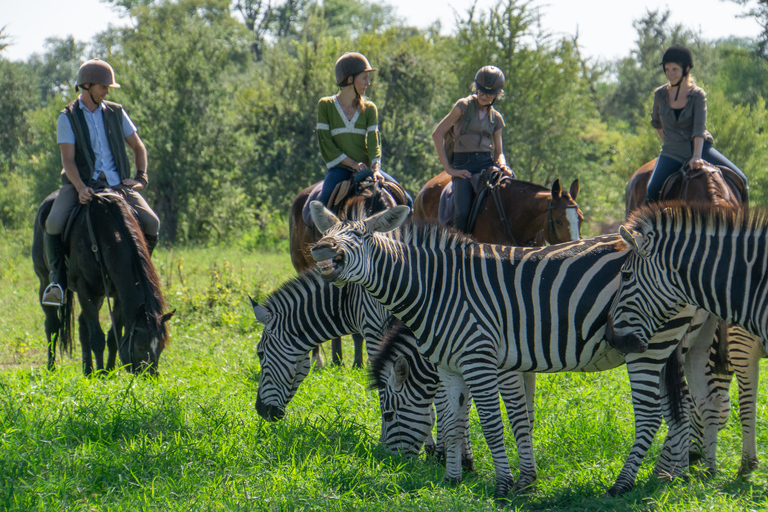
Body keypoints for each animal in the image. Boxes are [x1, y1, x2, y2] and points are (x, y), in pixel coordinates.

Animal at [32, 190, 173, 374]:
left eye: (162, 347)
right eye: (140, 347)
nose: (150, 377)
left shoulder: (118, 295)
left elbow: (113, 336)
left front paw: (108, 371)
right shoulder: (84, 289)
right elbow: (97, 337)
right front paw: (101, 374)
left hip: (98, 295)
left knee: (82, 325)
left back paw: (87, 370)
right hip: (45, 282)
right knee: (52, 324)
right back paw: (52, 367)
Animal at [308, 202, 712, 498]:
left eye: (359, 236)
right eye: (327, 234)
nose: (389, 464)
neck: (436, 288)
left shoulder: (482, 360)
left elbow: (493, 422)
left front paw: (504, 485)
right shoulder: (452, 367)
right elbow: (456, 422)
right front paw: (454, 481)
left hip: (648, 347)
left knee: (652, 414)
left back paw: (624, 483)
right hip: (675, 344)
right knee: (683, 406)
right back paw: (668, 478)